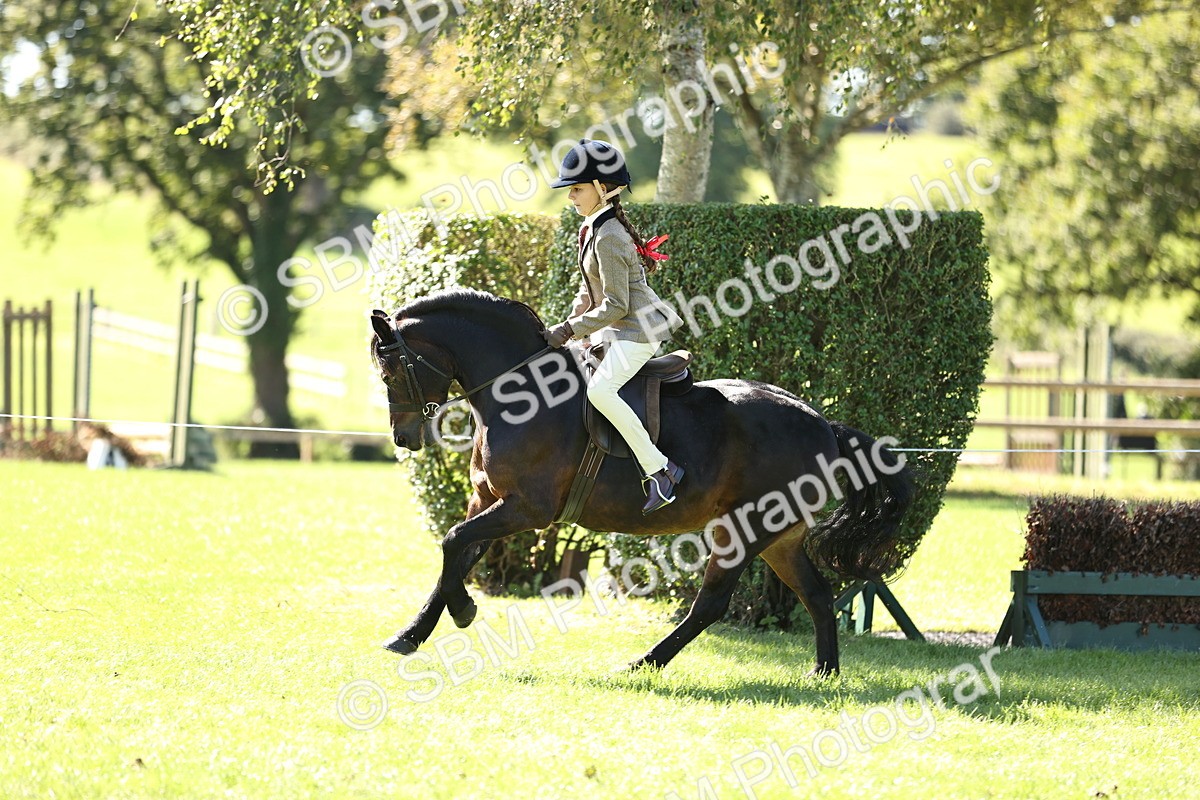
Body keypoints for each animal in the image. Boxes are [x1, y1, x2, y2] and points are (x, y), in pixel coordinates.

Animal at [369, 289, 915, 676]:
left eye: (391, 369)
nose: (403, 437)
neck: (522, 393)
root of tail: (823, 423)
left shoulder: (526, 508)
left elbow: (452, 542)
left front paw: (463, 611)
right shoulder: (488, 499)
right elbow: (455, 555)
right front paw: (410, 635)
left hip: (746, 529)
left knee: (712, 604)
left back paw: (641, 664)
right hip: (781, 535)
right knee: (817, 596)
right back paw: (824, 673)